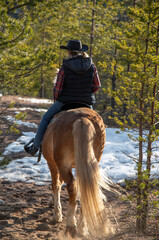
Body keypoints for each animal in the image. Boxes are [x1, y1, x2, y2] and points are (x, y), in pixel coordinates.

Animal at [42, 107, 113, 238]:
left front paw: (57, 214)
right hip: (90, 162)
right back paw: (82, 228)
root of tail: (82, 118)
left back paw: (71, 226)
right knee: (87, 187)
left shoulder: (52, 164)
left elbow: (56, 185)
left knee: (72, 187)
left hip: (63, 165)